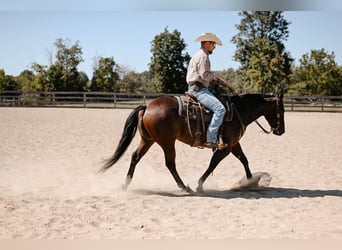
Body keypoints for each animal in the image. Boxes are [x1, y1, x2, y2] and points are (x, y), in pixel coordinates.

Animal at [99, 93, 286, 192]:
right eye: (281, 110)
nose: (281, 131)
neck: (237, 111)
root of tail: (147, 107)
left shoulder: (233, 144)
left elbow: (244, 159)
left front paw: (251, 181)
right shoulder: (226, 147)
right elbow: (213, 164)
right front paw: (200, 184)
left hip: (148, 140)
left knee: (135, 157)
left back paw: (125, 184)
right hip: (167, 142)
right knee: (170, 163)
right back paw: (184, 187)